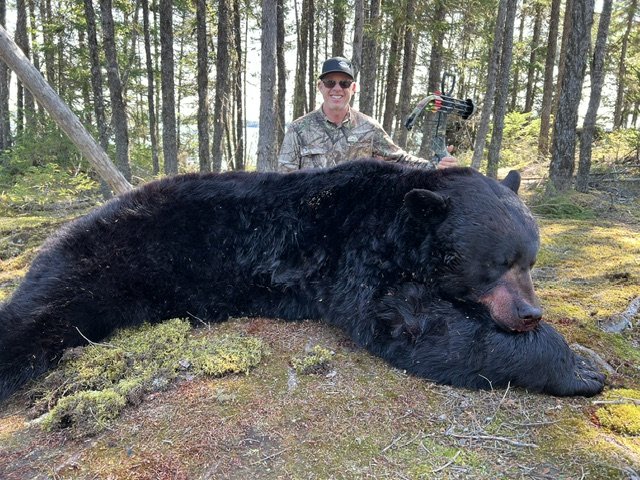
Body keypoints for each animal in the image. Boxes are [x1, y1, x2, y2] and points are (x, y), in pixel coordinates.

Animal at [0, 160, 604, 401]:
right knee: (38, 315)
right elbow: (414, 329)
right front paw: (579, 367)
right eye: (495, 265)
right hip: (101, 262)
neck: (397, 217)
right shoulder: (360, 259)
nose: (529, 313)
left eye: (530, 260)